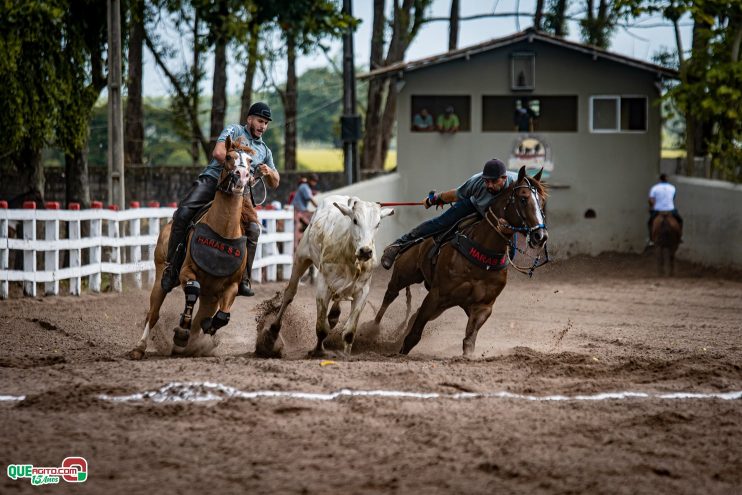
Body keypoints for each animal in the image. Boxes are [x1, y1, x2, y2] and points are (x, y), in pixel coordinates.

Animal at [129, 138, 254, 358]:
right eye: (228, 157)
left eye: (250, 161)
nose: (242, 176)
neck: (223, 232)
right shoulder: (187, 272)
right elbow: (192, 289)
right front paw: (181, 332)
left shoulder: (230, 286)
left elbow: (222, 316)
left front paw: (206, 329)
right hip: (161, 276)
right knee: (153, 314)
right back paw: (140, 347)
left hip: (210, 297)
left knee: (200, 318)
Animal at [258, 194, 396, 356]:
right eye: (355, 220)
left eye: (378, 223)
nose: (366, 251)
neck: (348, 254)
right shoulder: (323, 286)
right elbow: (321, 328)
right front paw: (318, 351)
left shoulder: (362, 291)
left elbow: (349, 332)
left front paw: (346, 355)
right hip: (301, 258)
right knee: (289, 294)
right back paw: (273, 331)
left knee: (336, 303)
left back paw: (334, 315)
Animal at [374, 167, 548, 356]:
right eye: (523, 199)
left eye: (541, 202)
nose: (540, 236)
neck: (482, 254)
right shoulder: (436, 295)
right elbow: (414, 335)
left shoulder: (483, 306)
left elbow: (469, 341)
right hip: (404, 275)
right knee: (390, 296)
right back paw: (371, 330)